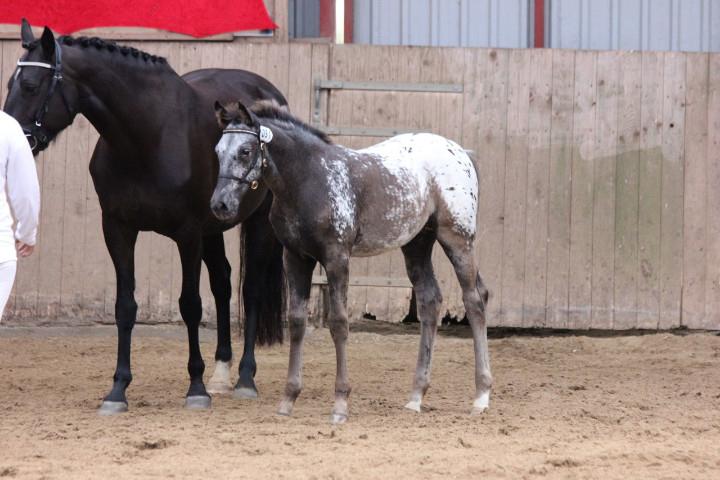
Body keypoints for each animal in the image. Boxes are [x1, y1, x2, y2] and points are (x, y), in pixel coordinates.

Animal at [6, 20, 286, 414]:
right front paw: (118, 389)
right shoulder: (118, 229)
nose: (12, 140)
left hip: (257, 223)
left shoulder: (187, 234)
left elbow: (190, 305)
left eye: (30, 86)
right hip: (213, 228)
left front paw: (196, 388)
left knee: (251, 290)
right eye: (9, 85)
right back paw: (221, 374)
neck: (147, 136)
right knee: (223, 283)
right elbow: (126, 306)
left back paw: (245, 378)